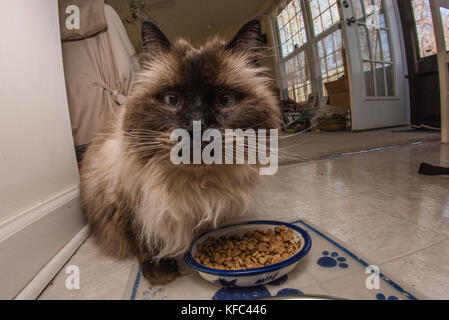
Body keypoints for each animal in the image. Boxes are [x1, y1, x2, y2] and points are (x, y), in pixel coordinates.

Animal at [79, 18, 278, 284]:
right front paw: (160, 272)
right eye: (172, 100)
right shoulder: (128, 203)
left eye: (225, 100)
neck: (193, 185)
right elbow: (144, 238)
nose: (197, 127)